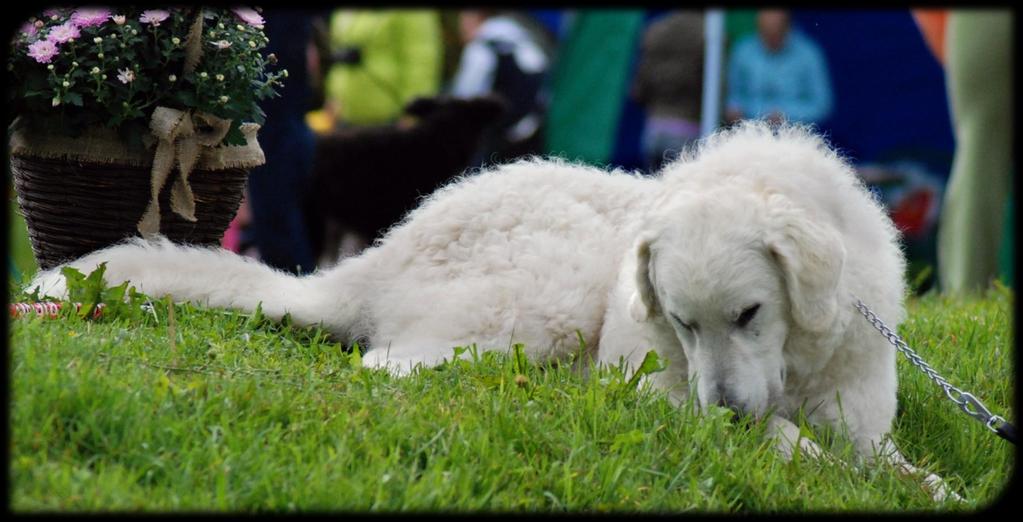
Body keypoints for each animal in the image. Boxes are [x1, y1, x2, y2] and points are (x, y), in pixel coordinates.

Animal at [29, 121, 957, 501]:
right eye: (684, 325)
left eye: (750, 313)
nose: (722, 414)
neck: (797, 358)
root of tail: (382, 253)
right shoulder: (661, 388)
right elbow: (789, 442)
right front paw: (798, 458)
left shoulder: (851, 415)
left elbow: (889, 463)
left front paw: (933, 488)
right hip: (546, 290)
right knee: (392, 364)